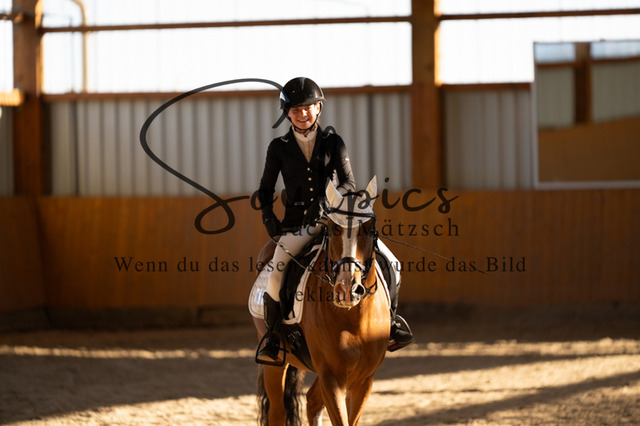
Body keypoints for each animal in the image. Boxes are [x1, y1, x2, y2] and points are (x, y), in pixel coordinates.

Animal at [251, 176, 390, 426]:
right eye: (334, 229)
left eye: (370, 229)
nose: (347, 290)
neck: (354, 319)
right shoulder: (331, 375)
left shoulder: (363, 379)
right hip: (275, 363)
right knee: (278, 412)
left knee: (312, 400)